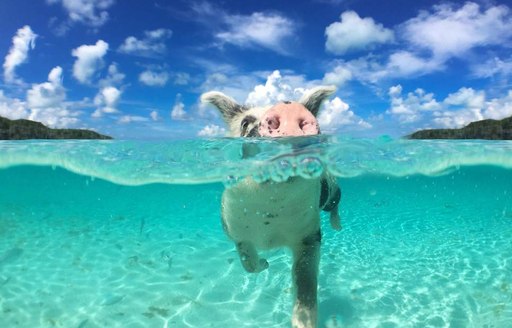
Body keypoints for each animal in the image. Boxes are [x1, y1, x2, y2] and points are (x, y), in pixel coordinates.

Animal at [202, 86, 342, 326]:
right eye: (245, 123)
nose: (288, 108)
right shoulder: (234, 227)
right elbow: (248, 262)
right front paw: (265, 264)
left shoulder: (310, 235)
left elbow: (305, 280)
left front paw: (303, 323)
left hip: (331, 189)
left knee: (335, 202)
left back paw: (337, 226)